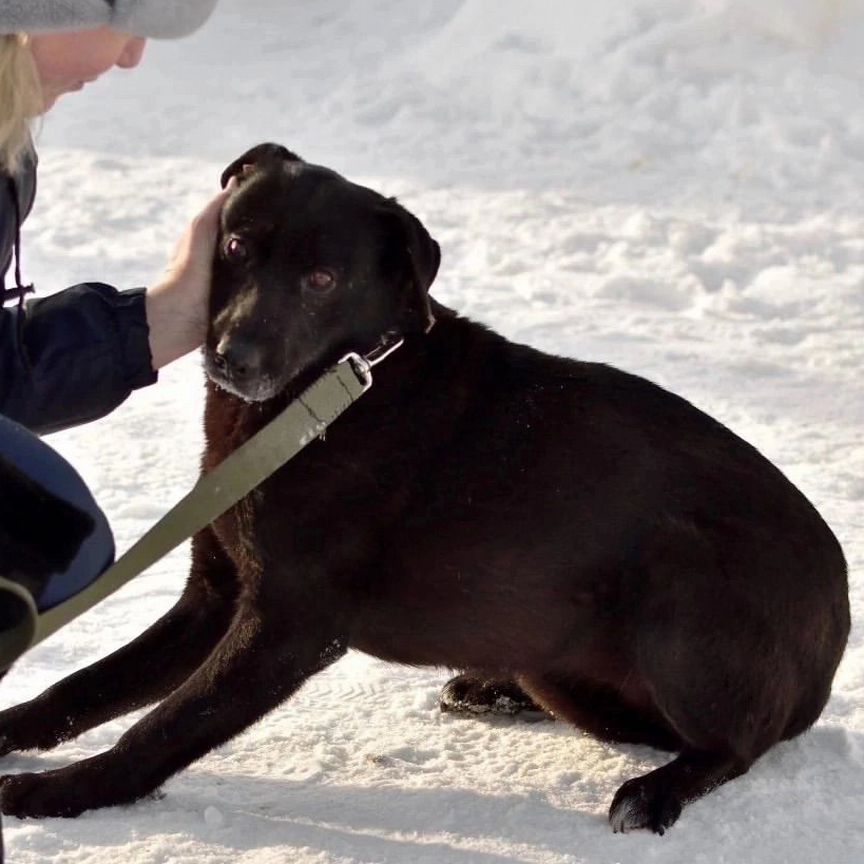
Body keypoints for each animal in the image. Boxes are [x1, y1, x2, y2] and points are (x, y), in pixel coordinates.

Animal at [0, 145, 852, 832]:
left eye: (322, 278)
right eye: (236, 244)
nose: (233, 355)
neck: (334, 393)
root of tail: (838, 618)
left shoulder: (285, 626)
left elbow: (161, 728)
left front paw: (56, 795)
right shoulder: (214, 596)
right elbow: (84, 686)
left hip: (683, 581)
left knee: (735, 743)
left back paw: (657, 792)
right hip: (560, 658)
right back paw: (496, 689)